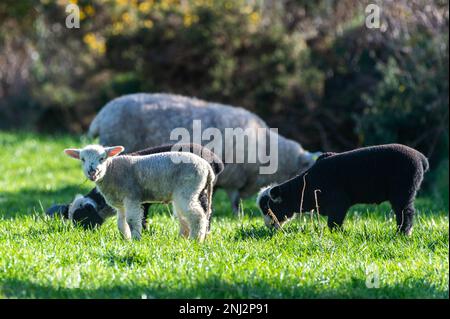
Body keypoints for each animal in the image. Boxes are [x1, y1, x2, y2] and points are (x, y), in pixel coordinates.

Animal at [256, 144, 428, 236]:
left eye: (268, 208)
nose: (268, 227)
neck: (305, 187)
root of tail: (421, 158)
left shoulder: (339, 203)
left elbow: (334, 223)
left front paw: (337, 235)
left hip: (403, 191)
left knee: (405, 212)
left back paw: (403, 233)